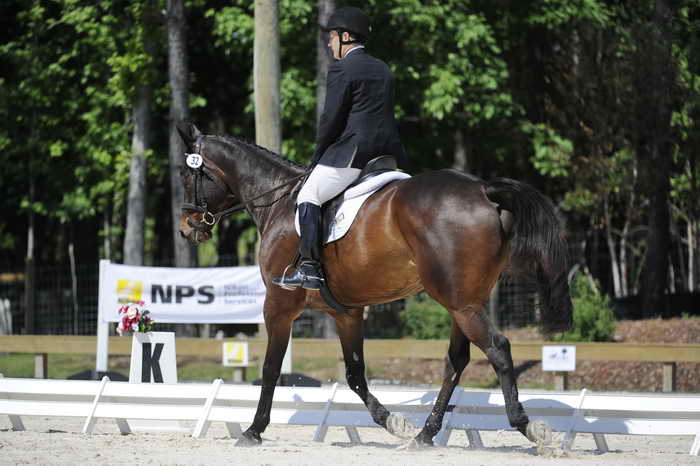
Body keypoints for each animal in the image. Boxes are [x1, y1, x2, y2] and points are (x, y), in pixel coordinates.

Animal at [176, 123, 573, 449]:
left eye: (185, 174)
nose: (186, 228)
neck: (280, 202)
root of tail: (484, 189)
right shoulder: (346, 312)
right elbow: (354, 374)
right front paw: (393, 422)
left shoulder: (278, 304)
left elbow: (271, 368)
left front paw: (253, 430)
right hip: (465, 301)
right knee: (456, 361)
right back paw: (423, 435)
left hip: (461, 303)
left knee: (498, 349)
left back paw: (529, 428)